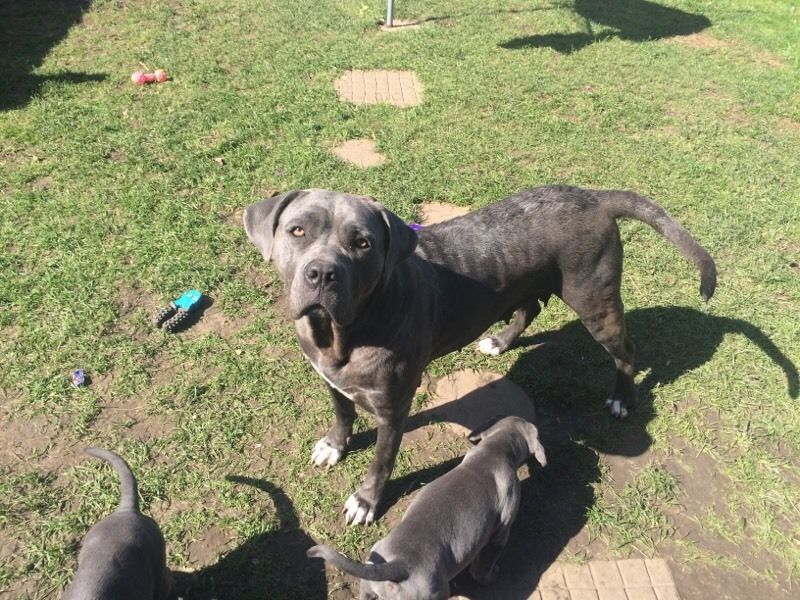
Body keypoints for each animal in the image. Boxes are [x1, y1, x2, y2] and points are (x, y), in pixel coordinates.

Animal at [244, 185, 720, 524]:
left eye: (362, 243)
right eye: (297, 231)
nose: (322, 273)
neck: (341, 333)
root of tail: (595, 196)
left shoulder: (392, 410)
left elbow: (382, 461)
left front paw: (366, 501)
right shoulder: (330, 380)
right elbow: (342, 414)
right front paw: (335, 445)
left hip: (595, 304)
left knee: (626, 349)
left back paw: (622, 397)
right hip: (529, 282)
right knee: (530, 308)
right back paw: (500, 341)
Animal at [304, 414, 544, 600]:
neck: (495, 450)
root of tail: (399, 564)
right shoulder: (501, 531)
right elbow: (484, 564)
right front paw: (490, 576)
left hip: (368, 585)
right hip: (434, 593)